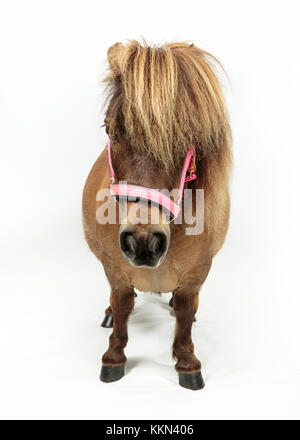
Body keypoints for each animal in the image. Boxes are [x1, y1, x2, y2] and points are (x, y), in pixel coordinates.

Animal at [82, 41, 232, 390]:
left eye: (187, 138)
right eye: (110, 130)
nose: (143, 241)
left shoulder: (197, 272)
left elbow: (185, 310)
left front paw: (186, 361)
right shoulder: (114, 268)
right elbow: (123, 303)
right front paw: (114, 357)